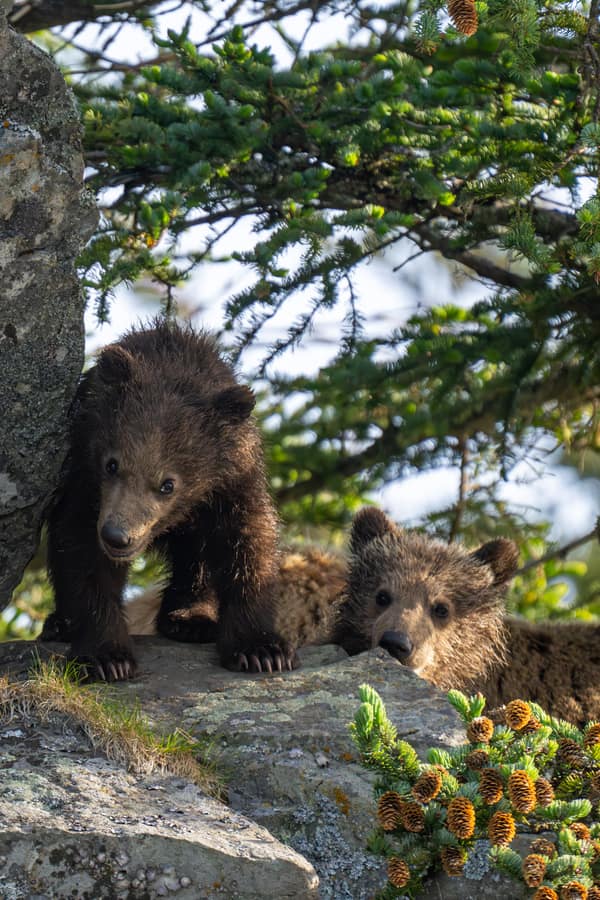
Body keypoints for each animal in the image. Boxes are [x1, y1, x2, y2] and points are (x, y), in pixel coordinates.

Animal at [41, 318, 296, 680]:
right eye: (112, 464)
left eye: (168, 484)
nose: (117, 536)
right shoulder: (84, 479)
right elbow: (81, 554)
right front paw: (107, 657)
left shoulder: (233, 484)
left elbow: (248, 545)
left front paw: (262, 650)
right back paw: (59, 624)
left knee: (196, 557)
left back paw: (190, 618)